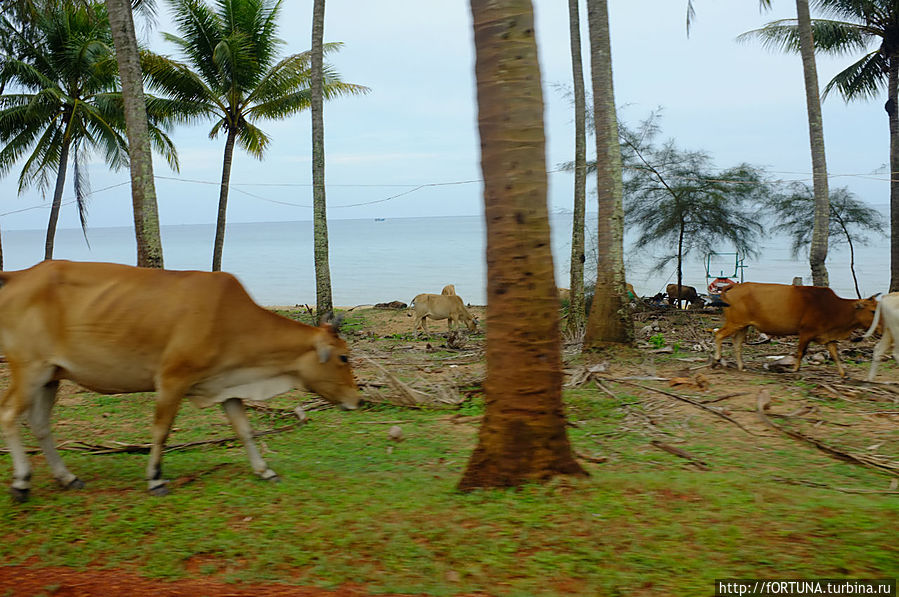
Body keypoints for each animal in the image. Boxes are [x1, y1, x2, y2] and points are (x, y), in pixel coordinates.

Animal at [0, 260, 362, 498]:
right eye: (344, 357)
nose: (358, 399)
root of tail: (19, 275)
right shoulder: (172, 379)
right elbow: (161, 431)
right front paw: (155, 479)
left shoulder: (225, 385)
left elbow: (244, 430)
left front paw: (264, 470)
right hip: (29, 368)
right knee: (9, 414)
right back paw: (21, 481)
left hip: (51, 375)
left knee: (40, 424)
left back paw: (66, 477)